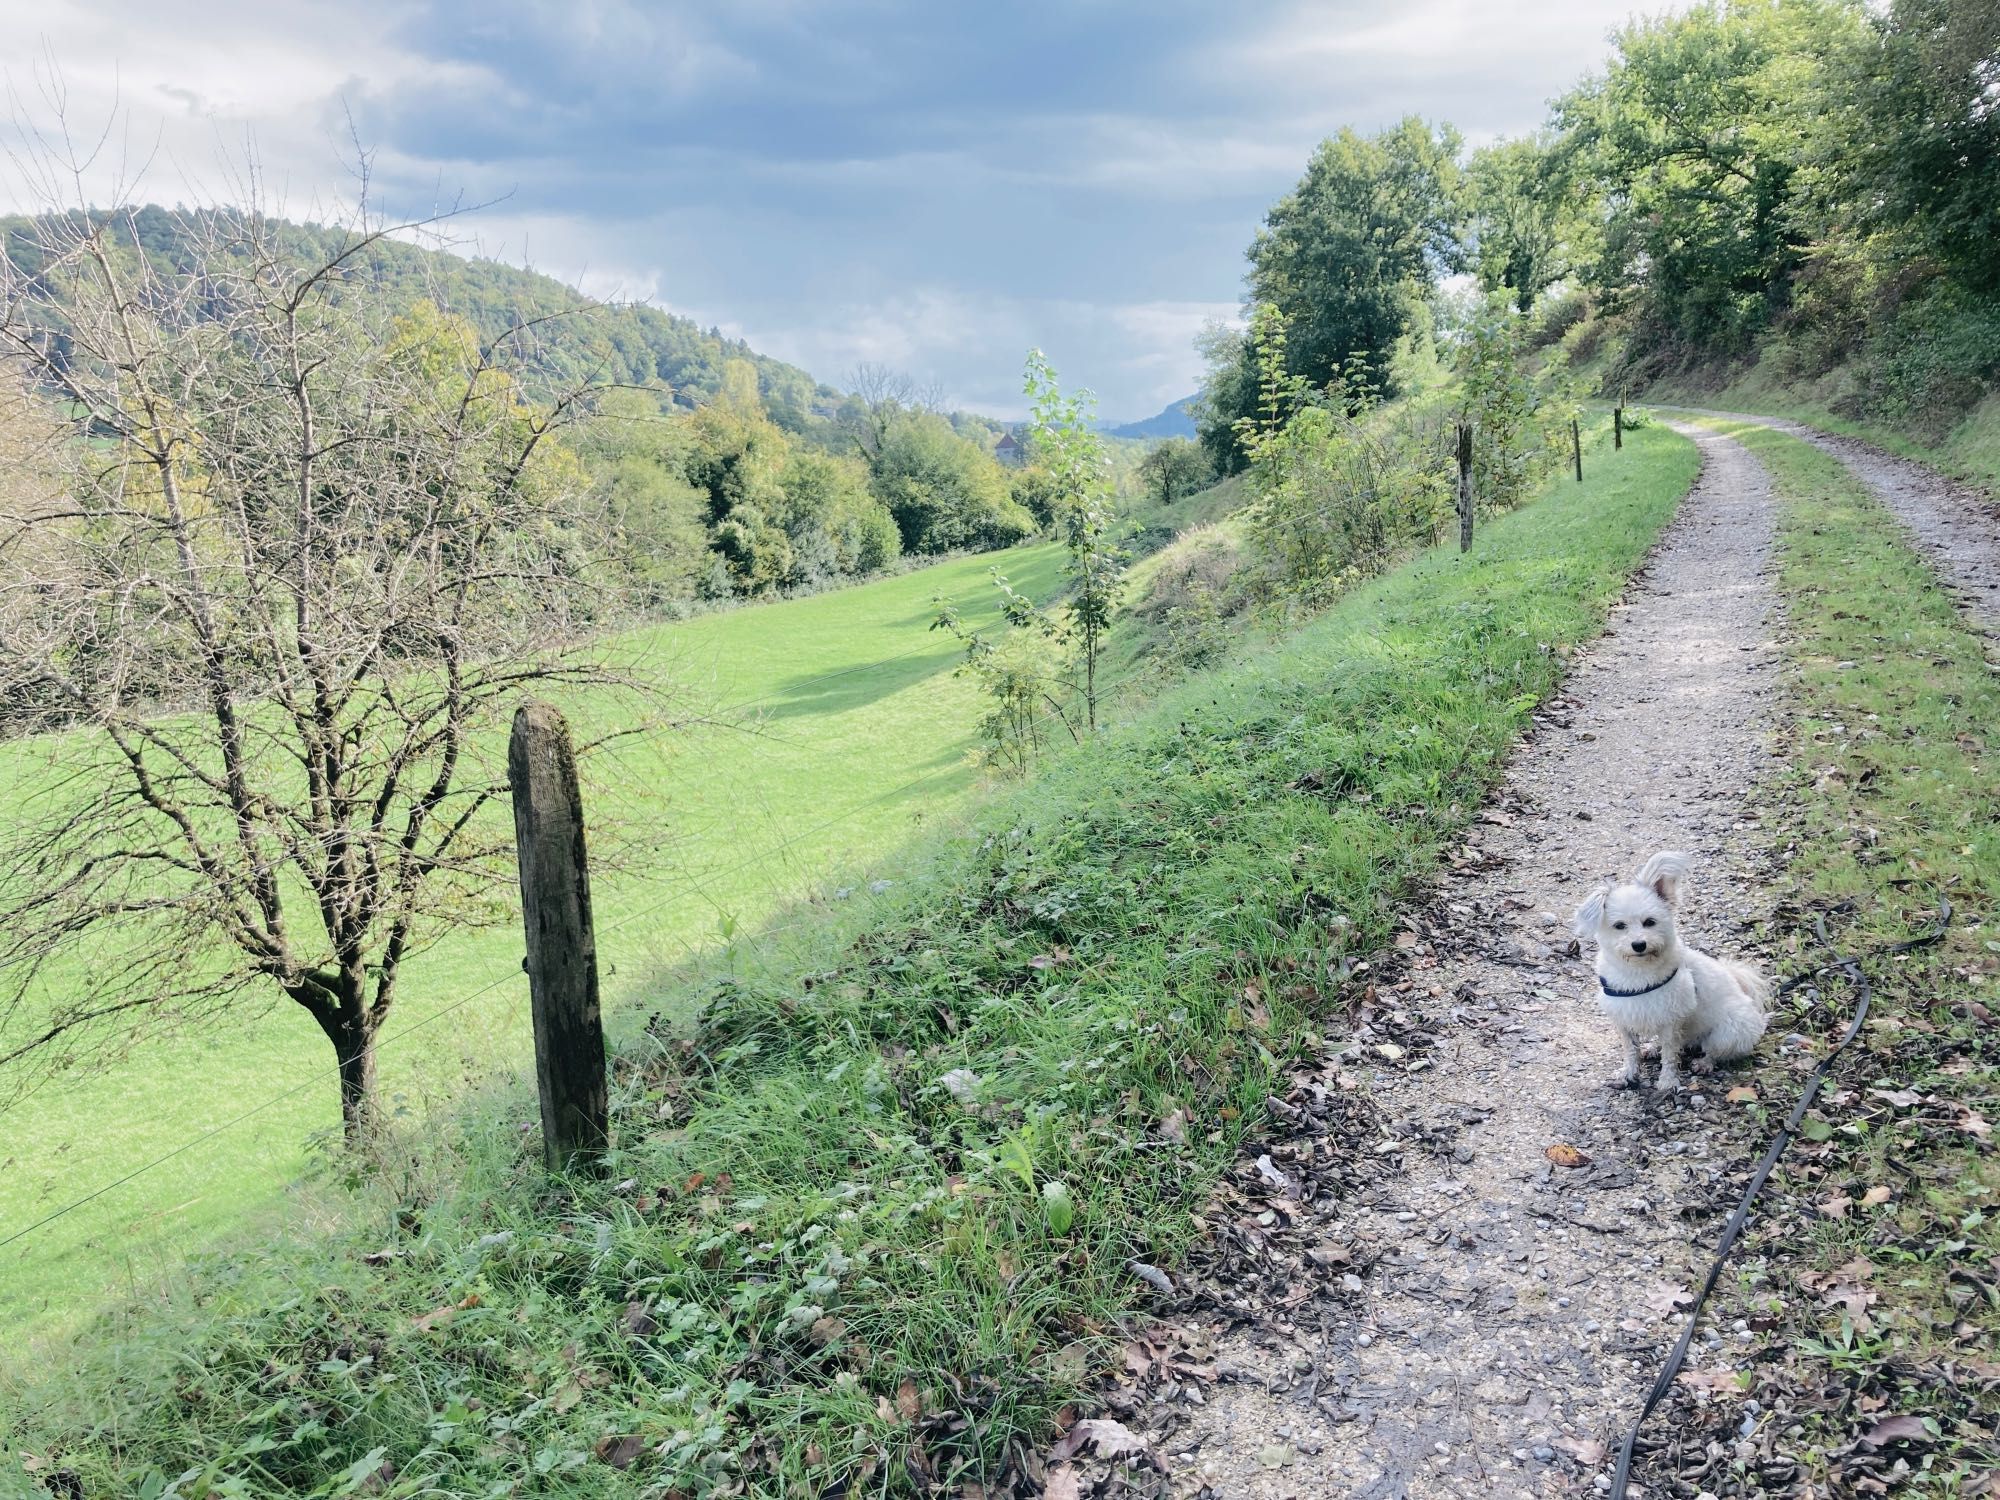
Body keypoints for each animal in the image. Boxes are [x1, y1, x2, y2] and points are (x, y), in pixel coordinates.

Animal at [1576, 856, 1768, 1096]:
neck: (1638, 973)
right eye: (1619, 926)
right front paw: (1628, 1074)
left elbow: (1669, 1055)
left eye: (1650, 922)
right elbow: (1631, 1051)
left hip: (1731, 1030)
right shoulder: (1623, 1020)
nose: (1639, 944)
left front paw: (1667, 1082)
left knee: (1715, 1051)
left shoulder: (1670, 1020)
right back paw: (1652, 1049)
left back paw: (1704, 1063)